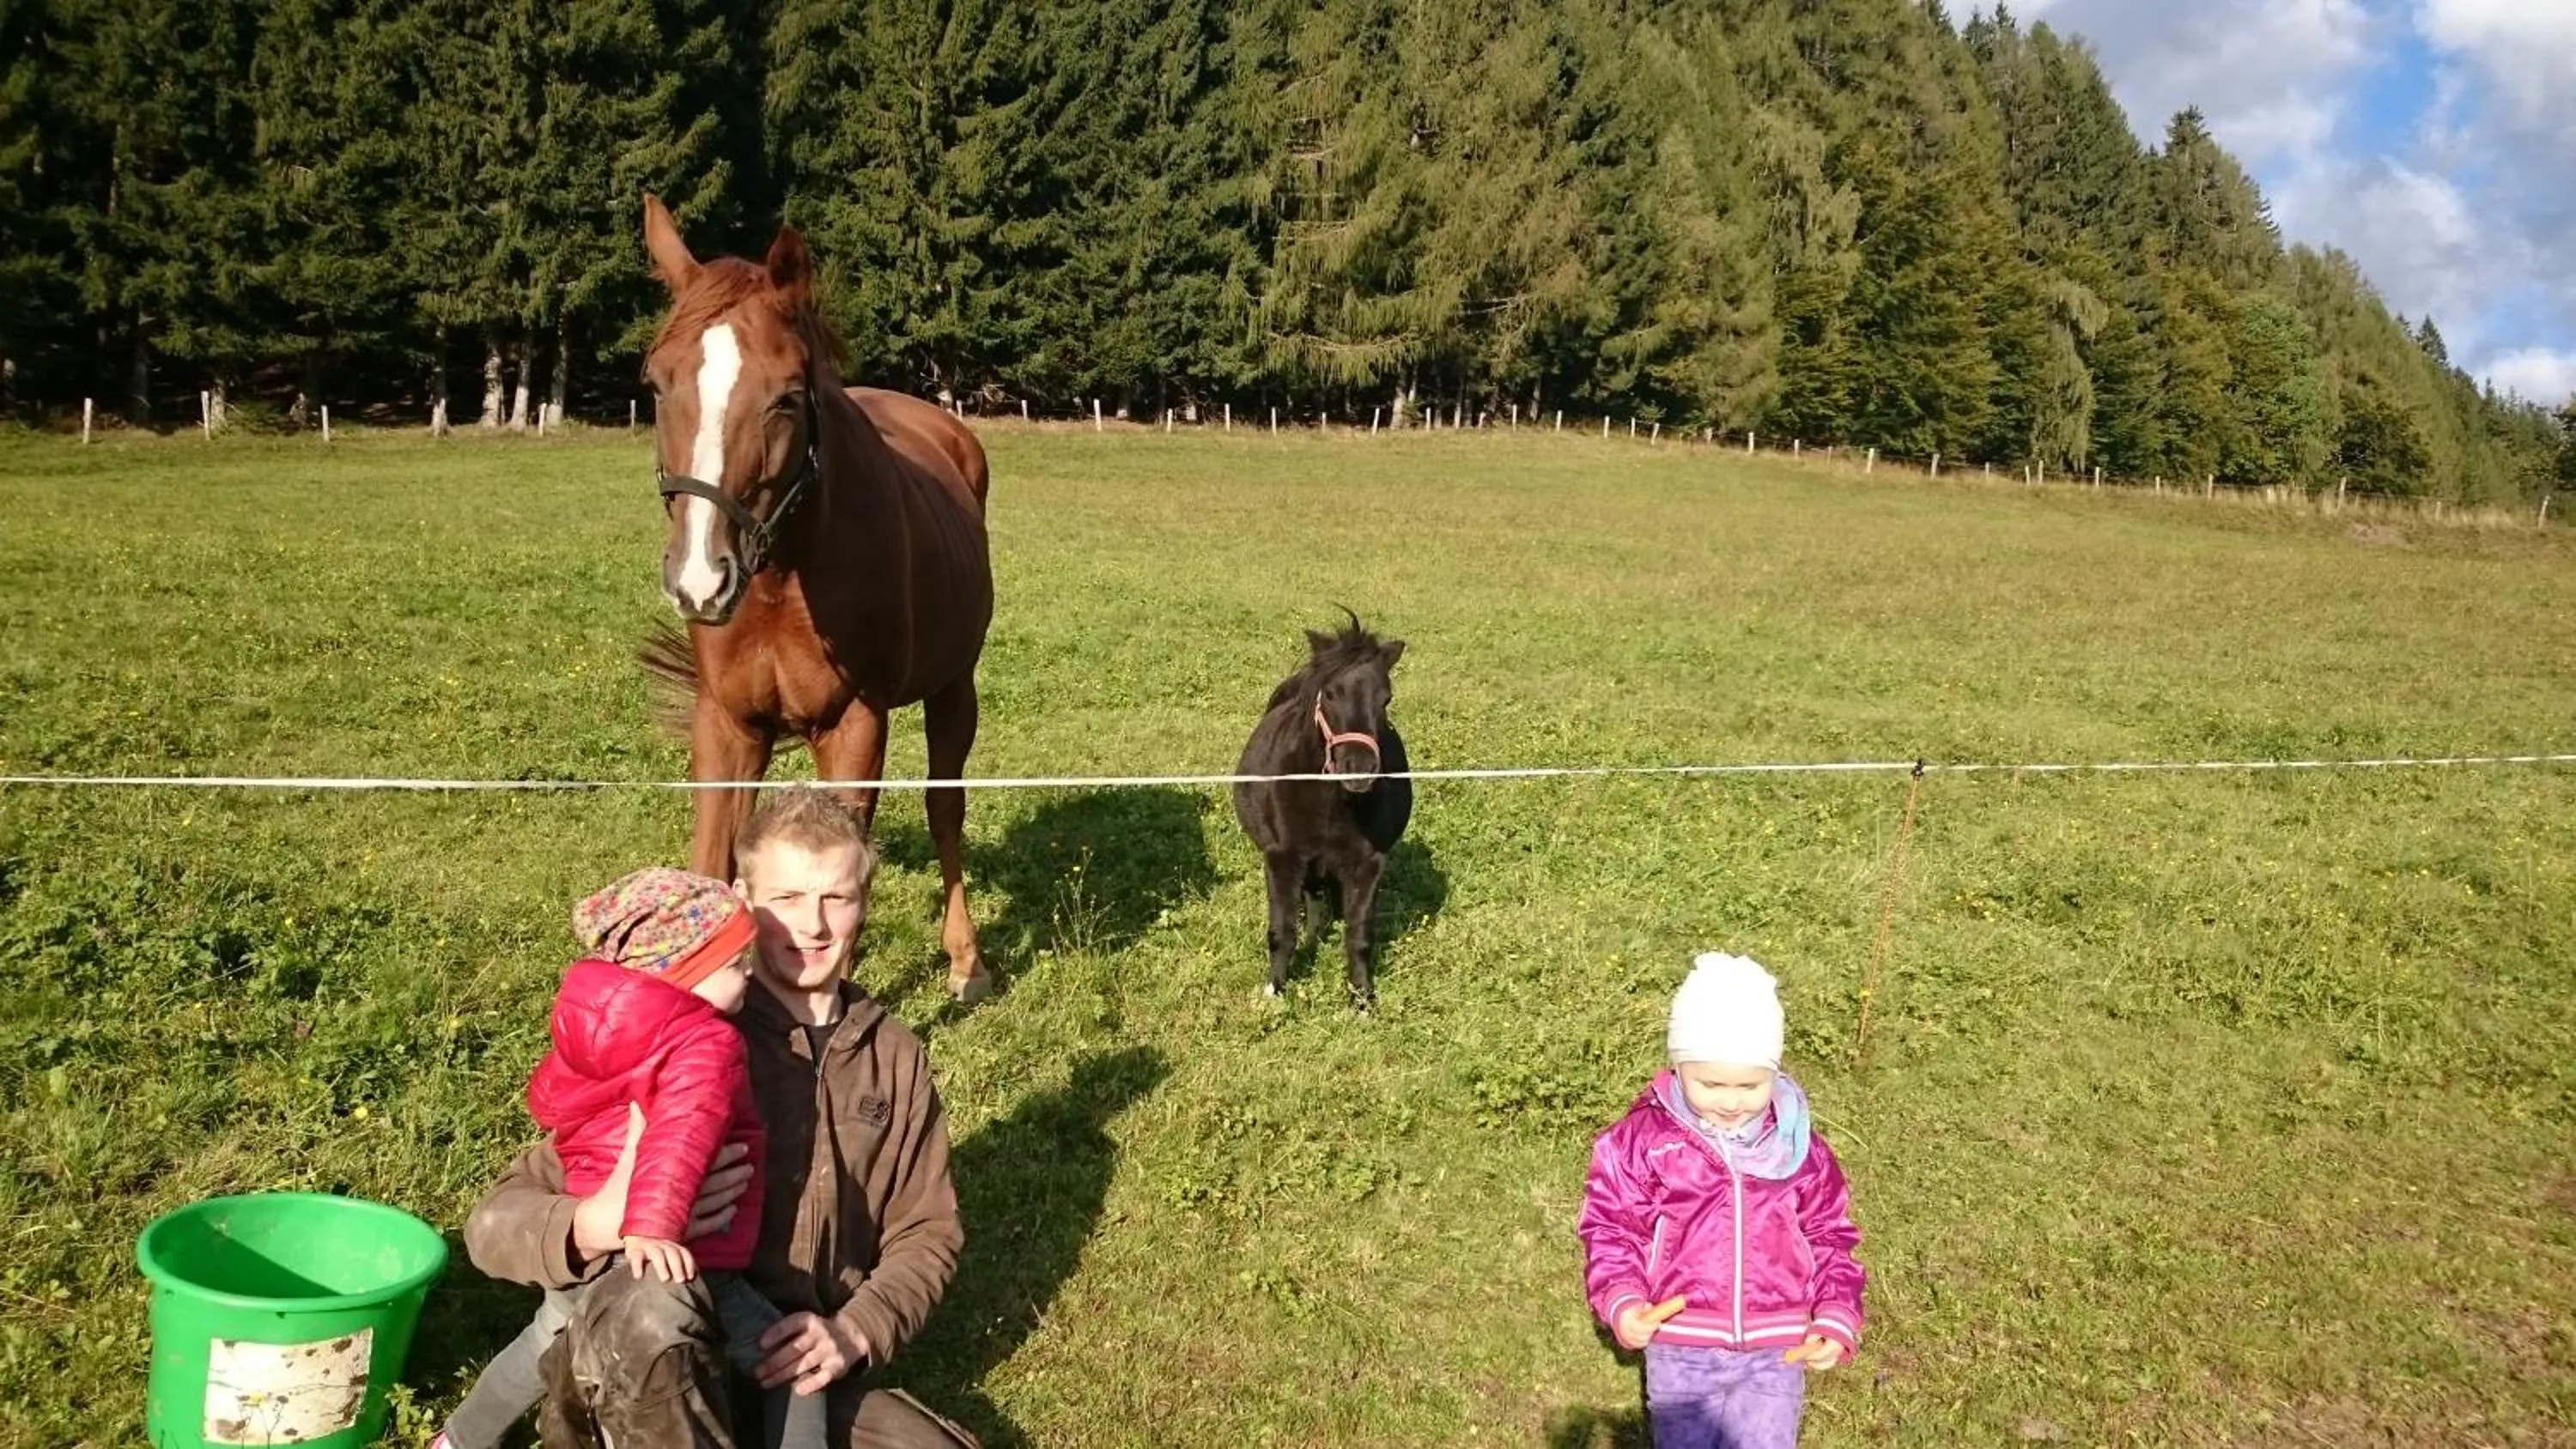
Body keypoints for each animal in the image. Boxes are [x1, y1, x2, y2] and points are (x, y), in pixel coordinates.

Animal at [633, 193, 995, 1002]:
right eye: (656, 385)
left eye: (787, 398)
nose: (700, 578)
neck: (780, 581)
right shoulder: (727, 724)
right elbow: (714, 865)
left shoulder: (853, 725)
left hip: (954, 686)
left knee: (945, 806)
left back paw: (967, 959)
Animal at [1232, 613, 1412, 1009]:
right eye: (1330, 694)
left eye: (1386, 699)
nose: (1358, 768)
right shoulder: (1282, 858)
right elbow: (1281, 931)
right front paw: (1274, 992)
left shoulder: (1368, 863)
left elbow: (1359, 936)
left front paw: (1362, 1001)